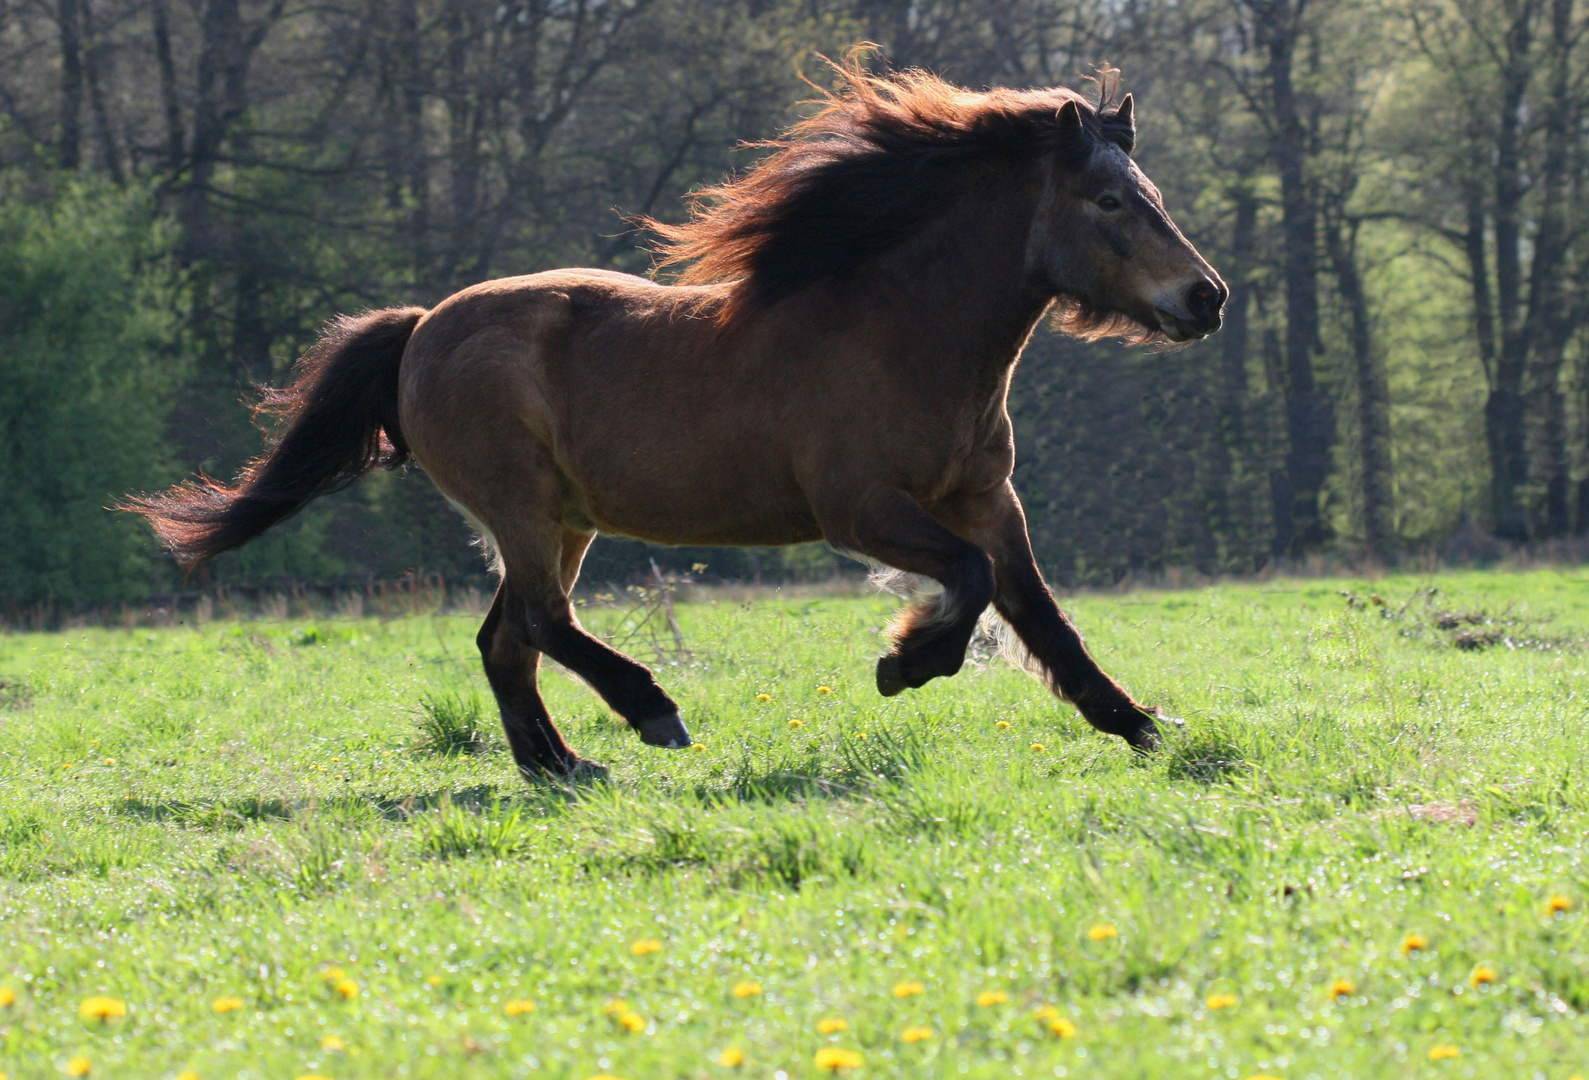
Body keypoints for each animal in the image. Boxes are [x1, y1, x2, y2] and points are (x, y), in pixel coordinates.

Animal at [133, 59, 1226, 781]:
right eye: (1106, 202)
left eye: (1148, 193)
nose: (1205, 298)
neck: (906, 333)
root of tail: (418, 331)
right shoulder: (860, 510)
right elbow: (968, 584)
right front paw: (902, 664)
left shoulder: (986, 499)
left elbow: (1038, 613)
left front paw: (1141, 727)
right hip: (523, 506)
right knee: (539, 620)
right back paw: (648, 713)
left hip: (562, 521)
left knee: (507, 637)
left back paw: (561, 766)